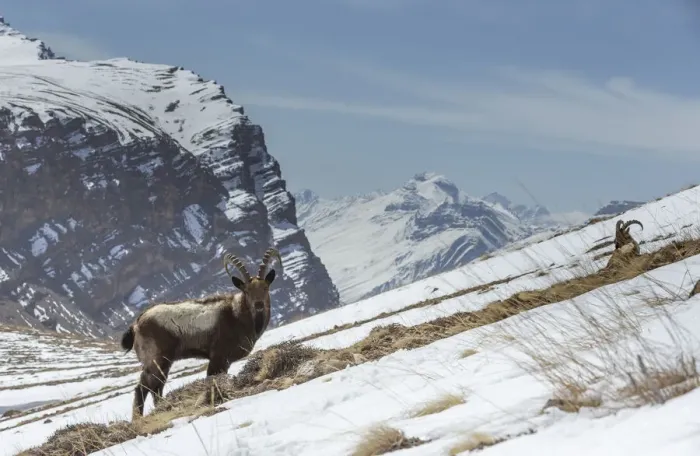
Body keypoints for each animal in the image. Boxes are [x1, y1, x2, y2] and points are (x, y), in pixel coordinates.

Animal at [120, 247, 282, 419]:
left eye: (265, 288)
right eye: (246, 290)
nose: (258, 305)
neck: (237, 314)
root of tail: (136, 324)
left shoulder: (225, 361)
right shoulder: (218, 356)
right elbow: (211, 378)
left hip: (162, 363)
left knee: (156, 387)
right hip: (156, 359)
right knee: (143, 386)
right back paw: (139, 417)